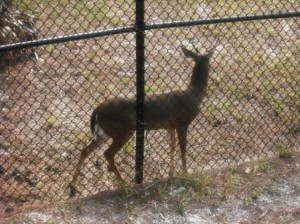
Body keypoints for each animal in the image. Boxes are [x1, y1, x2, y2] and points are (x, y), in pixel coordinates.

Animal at [67, 44, 214, 197]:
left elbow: (172, 147)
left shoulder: (170, 126)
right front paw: (185, 173)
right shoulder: (182, 122)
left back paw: (73, 186)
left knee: (85, 150)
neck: (195, 94)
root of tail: (98, 109)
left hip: (104, 132)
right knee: (107, 153)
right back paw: (124, 185)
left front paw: (171, 173)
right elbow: (183, 149)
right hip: (122, 131)